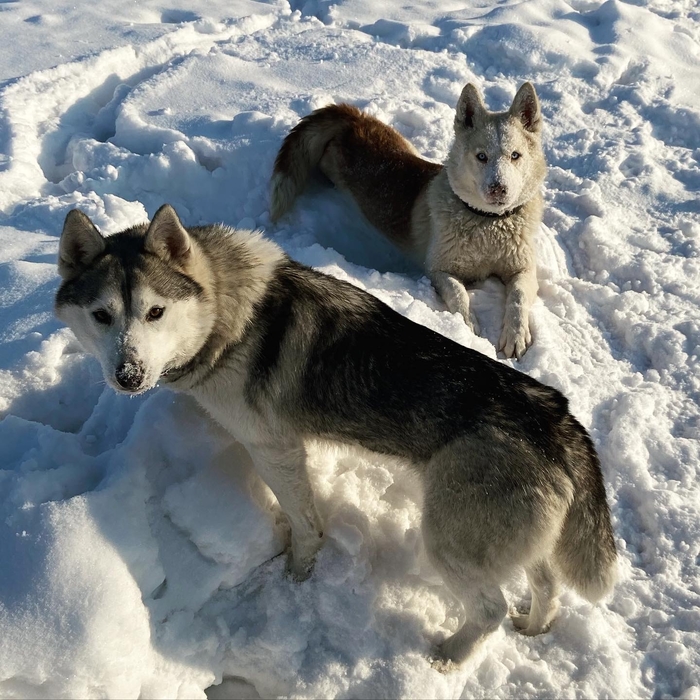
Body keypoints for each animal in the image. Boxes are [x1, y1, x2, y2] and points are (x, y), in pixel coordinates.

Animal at [55, 204, 616, 668]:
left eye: (156, 312)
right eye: (101, 316)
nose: (128, 376)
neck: (225, 315)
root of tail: (557, 415)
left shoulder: (275, 451)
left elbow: (307, 525)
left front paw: (297, 574)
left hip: (449, 541)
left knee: (490, 609)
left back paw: (450, 655)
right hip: (519, 539)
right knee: (547, 584)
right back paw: (535, 626)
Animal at [270, 82, 547, 359]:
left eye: (515, 155)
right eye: (481, 156)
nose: (498, 189)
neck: (487, 223)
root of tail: (354, 118)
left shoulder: (523, 269)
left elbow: (518, 297)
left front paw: (516, 335)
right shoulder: (438, 270)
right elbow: (460, 295)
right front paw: (467, 325)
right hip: (333, 165)